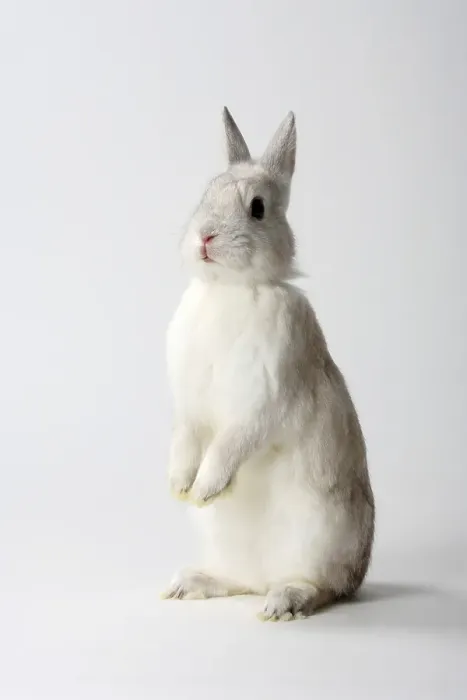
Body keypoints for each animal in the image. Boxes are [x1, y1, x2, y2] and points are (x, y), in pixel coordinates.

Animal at [163, 108, 375, 621]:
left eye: (257, 207)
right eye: (207, 192)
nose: (205, 237)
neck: (229, 289)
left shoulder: (263, 400)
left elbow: (230, 443)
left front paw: (204, 488)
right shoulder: (189, 407)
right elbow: (187, 437)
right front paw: (179, 486)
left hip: (319, 534)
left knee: (323, 587)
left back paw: (284, 603)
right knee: (241, 581)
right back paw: (191, 583)